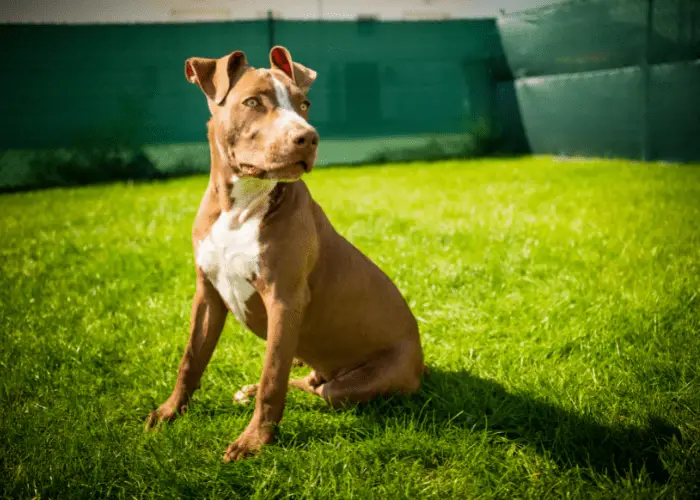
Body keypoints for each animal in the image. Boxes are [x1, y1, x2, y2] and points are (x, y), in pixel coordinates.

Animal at [145, 46, 424, 460]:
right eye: (252, 102)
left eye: (304, 104)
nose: (308, 138)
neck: (240, 207)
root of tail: (421, 360)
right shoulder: (207, 295)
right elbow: (190, 361)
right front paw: (168, 412)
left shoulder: (284, 300)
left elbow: (272, 378)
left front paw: (254, 441)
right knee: (309, 380)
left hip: (352, 384)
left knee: (319, 390)